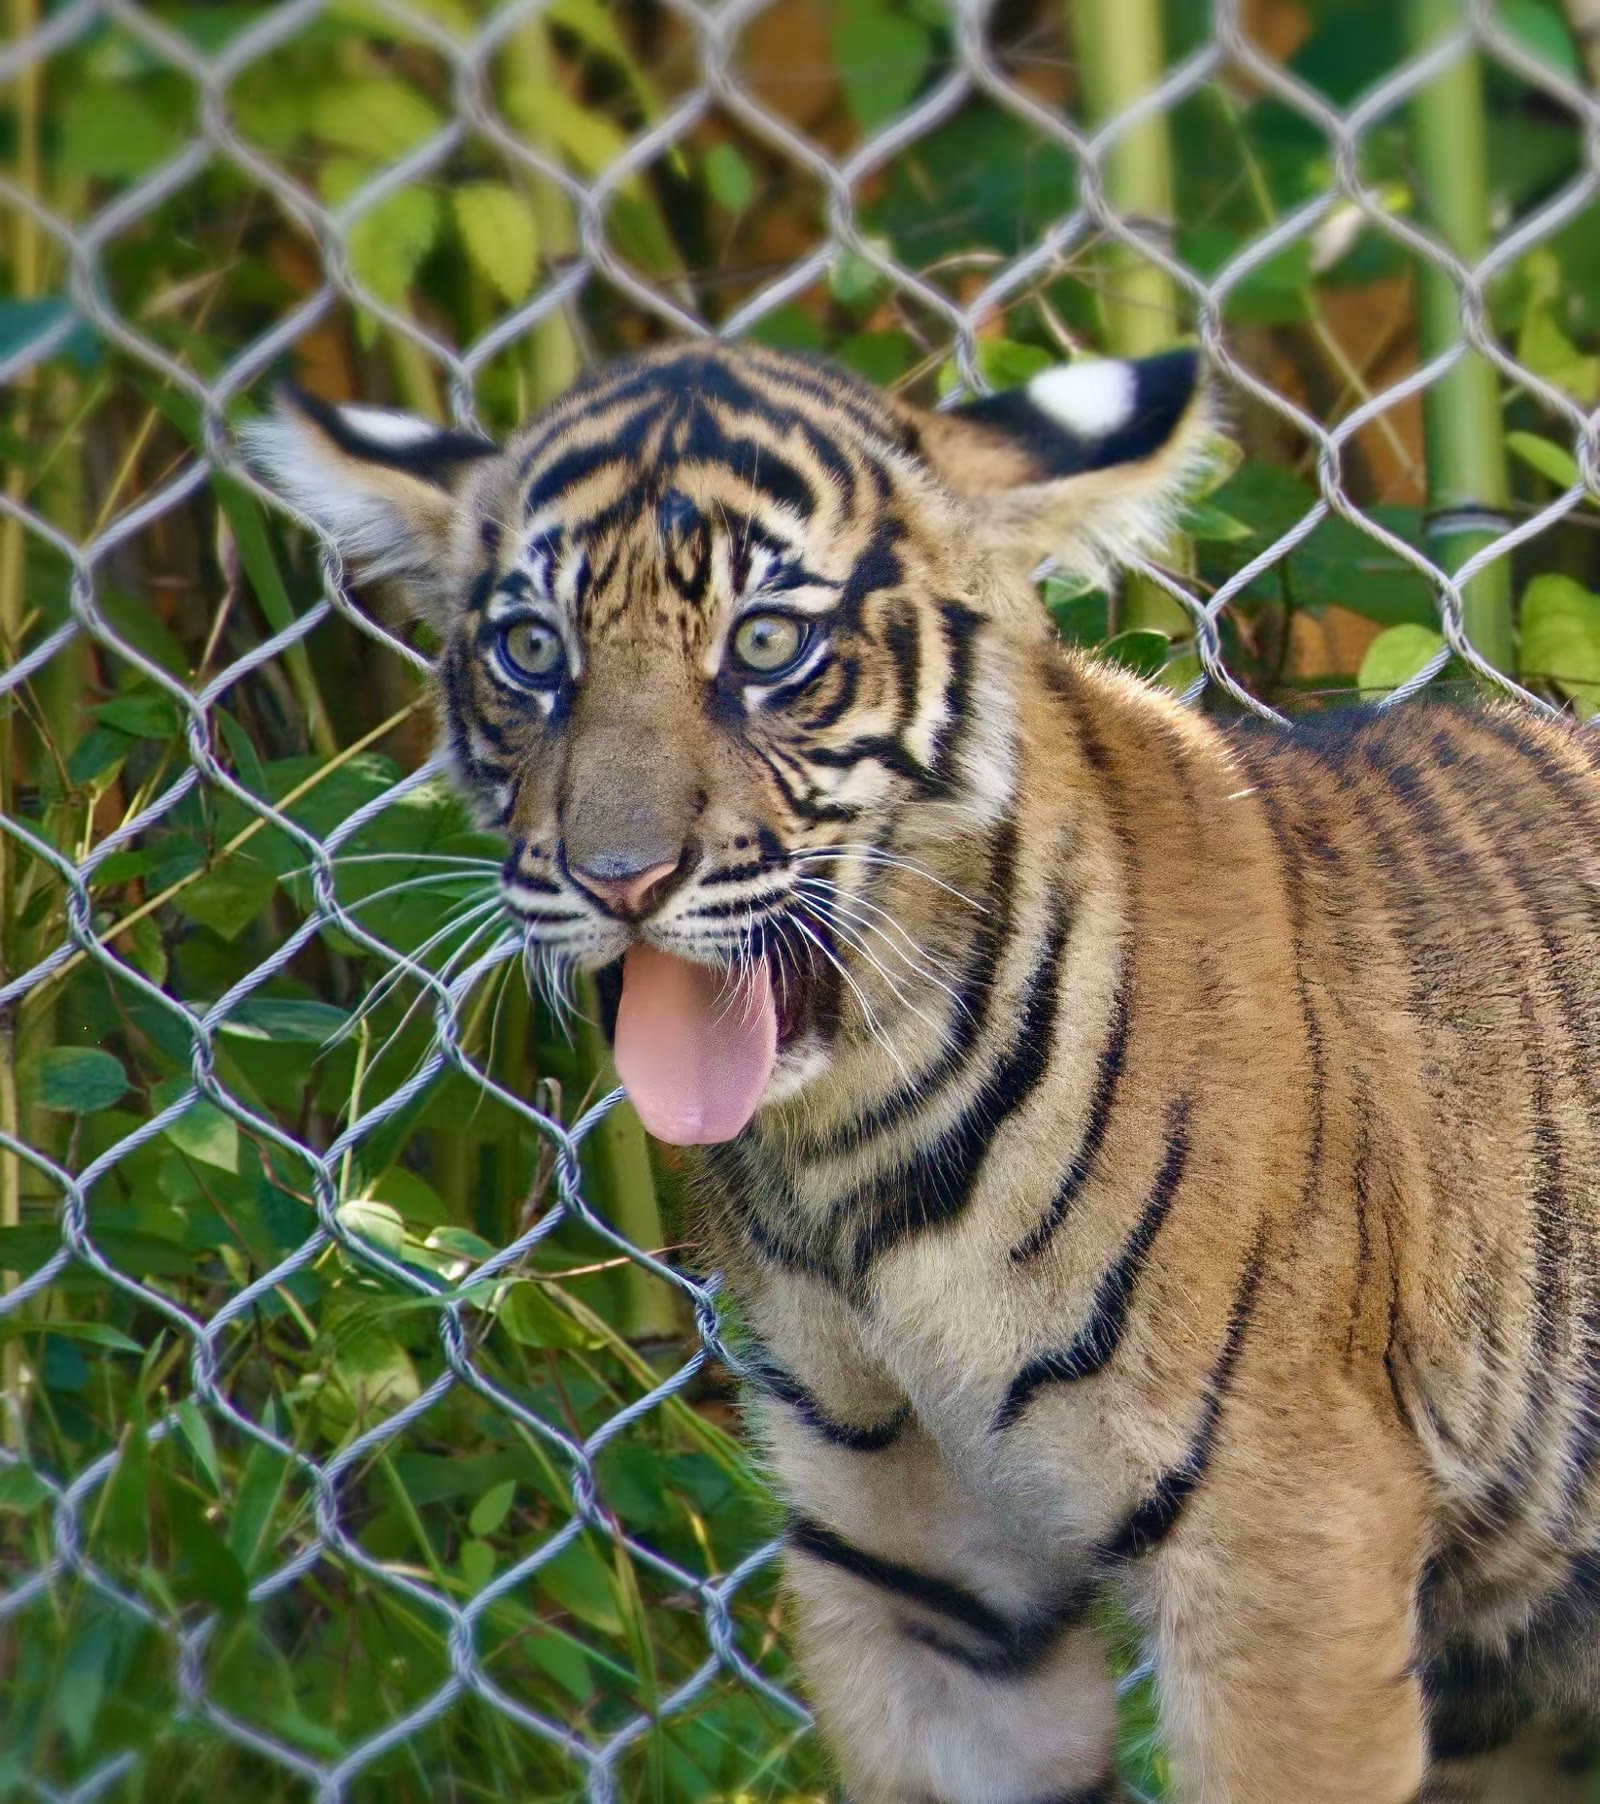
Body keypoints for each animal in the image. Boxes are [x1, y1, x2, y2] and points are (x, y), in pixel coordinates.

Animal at [245, 338, 1600, 1804]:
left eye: (767, 645)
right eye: (535, 652)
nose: (619, 878)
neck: (855, 1151)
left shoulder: (1283, 1544)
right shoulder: (911, 1570)